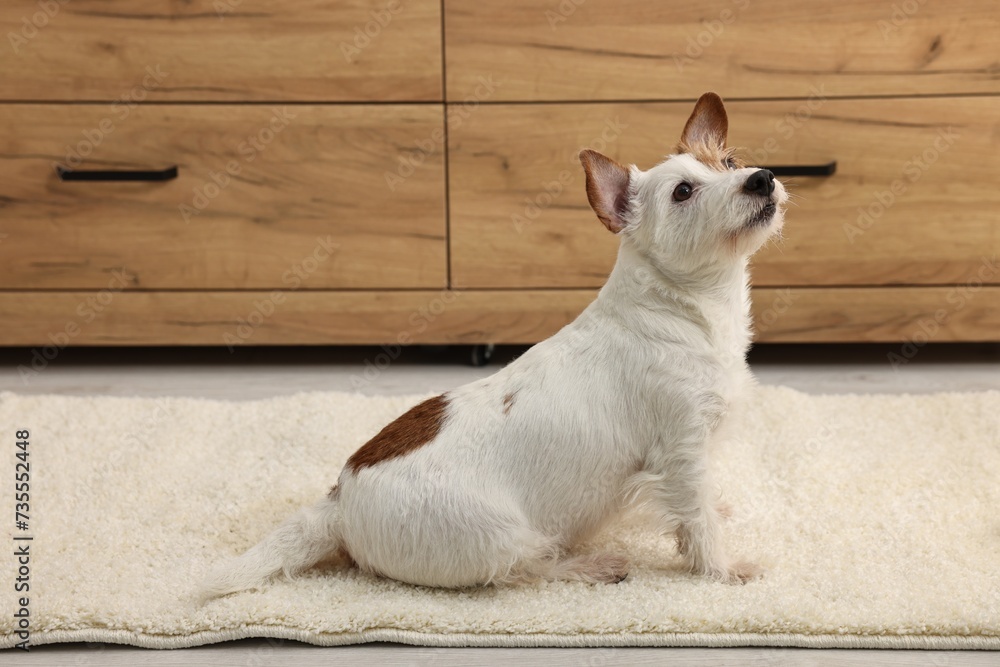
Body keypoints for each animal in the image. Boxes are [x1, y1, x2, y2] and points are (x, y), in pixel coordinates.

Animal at [199, 91, 784, 596]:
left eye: (729, 160)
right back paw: (592, 566)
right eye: (683, 191)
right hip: (500, 536)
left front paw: (716, 511)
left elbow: (698, 507)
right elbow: (696, 522)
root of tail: (338, 503)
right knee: (527, 569)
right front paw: (723, 569)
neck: (685, 310)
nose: (762, 178)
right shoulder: (681, 449)